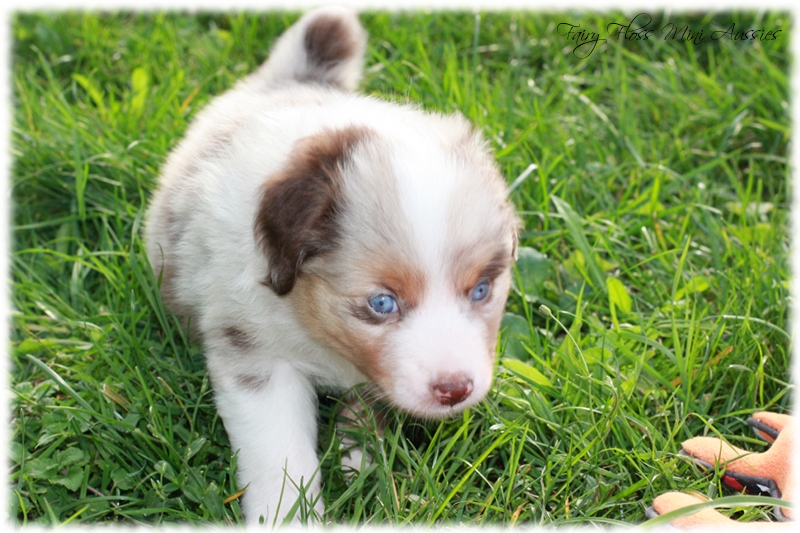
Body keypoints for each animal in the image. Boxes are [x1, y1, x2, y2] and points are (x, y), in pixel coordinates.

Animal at [144, 6, 520, 524]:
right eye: (381, 303)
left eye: (482, 290)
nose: (455, 389)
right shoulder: (255, 354)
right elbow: (281, 451)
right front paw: (287, 516)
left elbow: (365, 407)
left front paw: (361, 463)